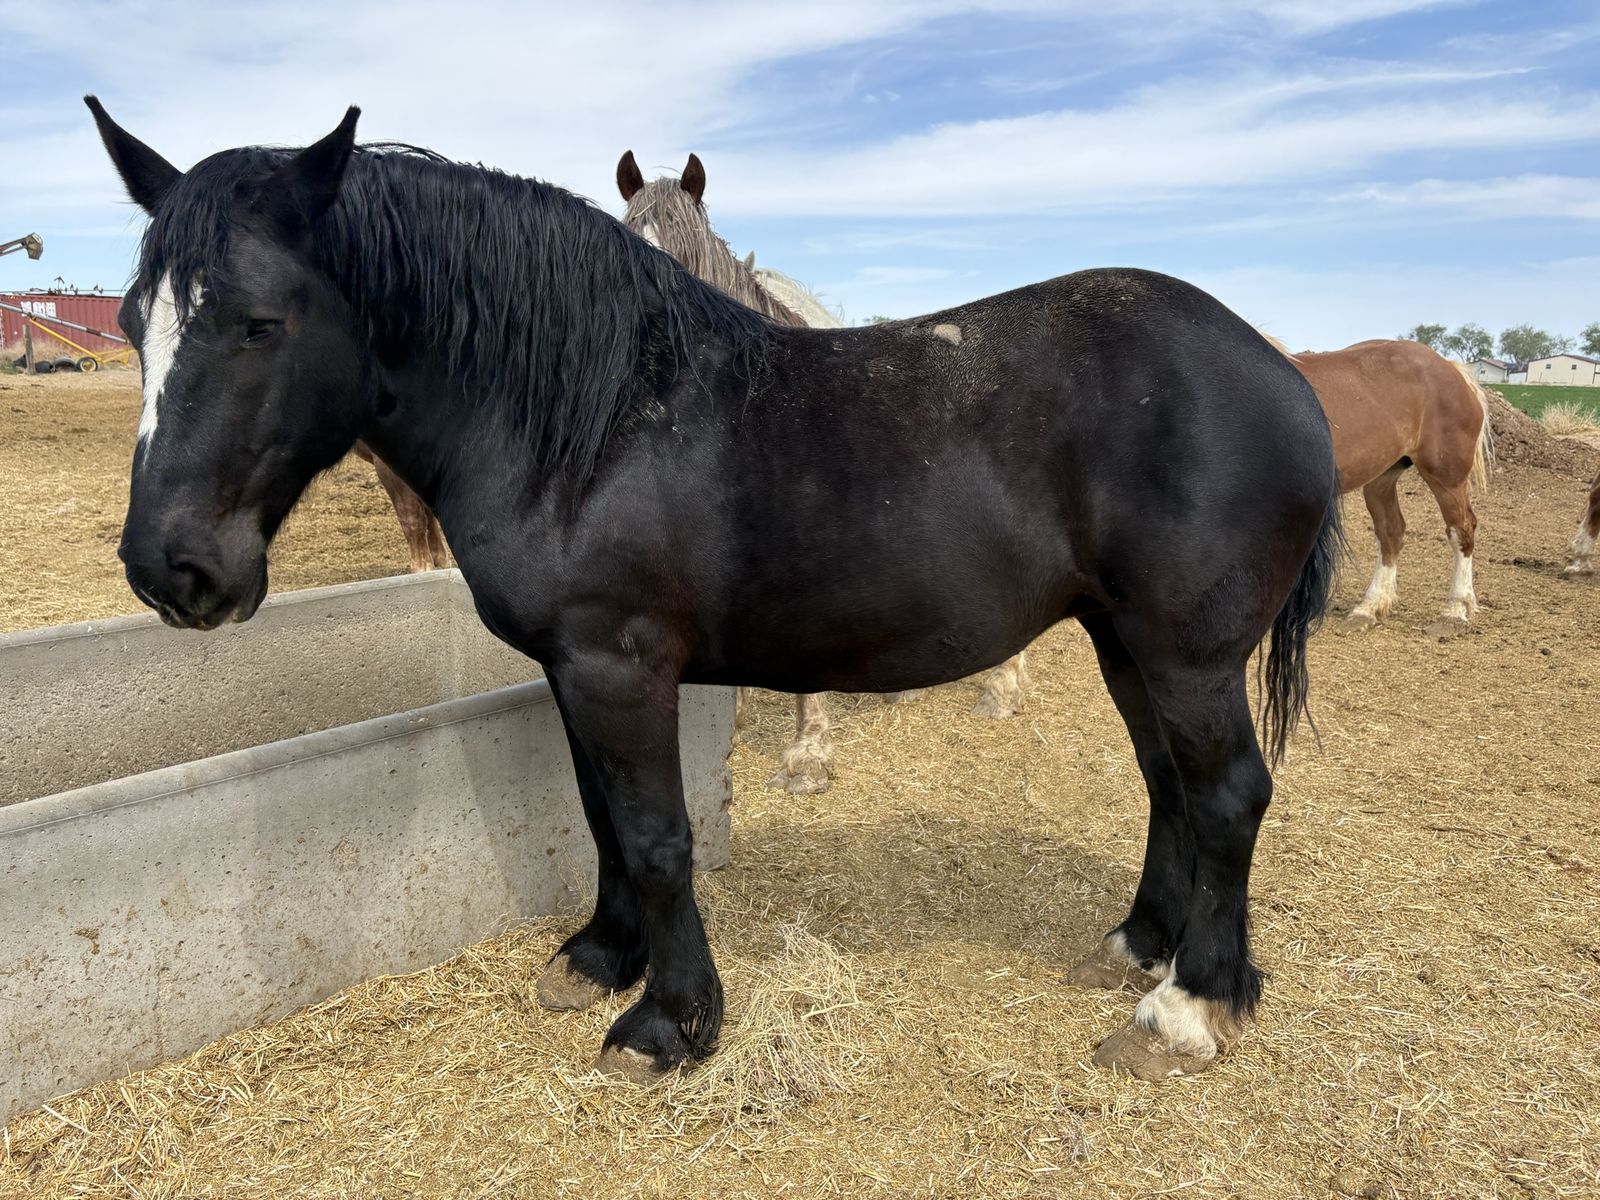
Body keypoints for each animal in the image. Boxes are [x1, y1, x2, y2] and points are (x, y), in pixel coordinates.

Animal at [1264, 336, 1492, 637]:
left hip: (1446, 478)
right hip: (1381, 479)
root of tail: (1453, 369)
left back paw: (1455, 611)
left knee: (1461, 530)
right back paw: (1369, 608)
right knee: (1391, 532)